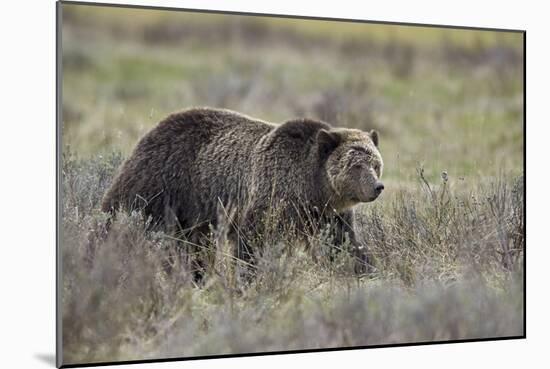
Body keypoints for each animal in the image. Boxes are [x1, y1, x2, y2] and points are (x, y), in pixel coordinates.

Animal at [102, 107, 384, 274]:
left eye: (376, 164)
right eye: (356, 165)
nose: (377, 187)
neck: (311, 187)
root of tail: (158, 126)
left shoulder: (327, 214)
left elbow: (344, 243)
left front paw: (366, 269)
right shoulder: (272, 196)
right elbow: (253, 242)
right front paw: (249, 276)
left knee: (194, 246)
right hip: (163, 182)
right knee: (123, 211)